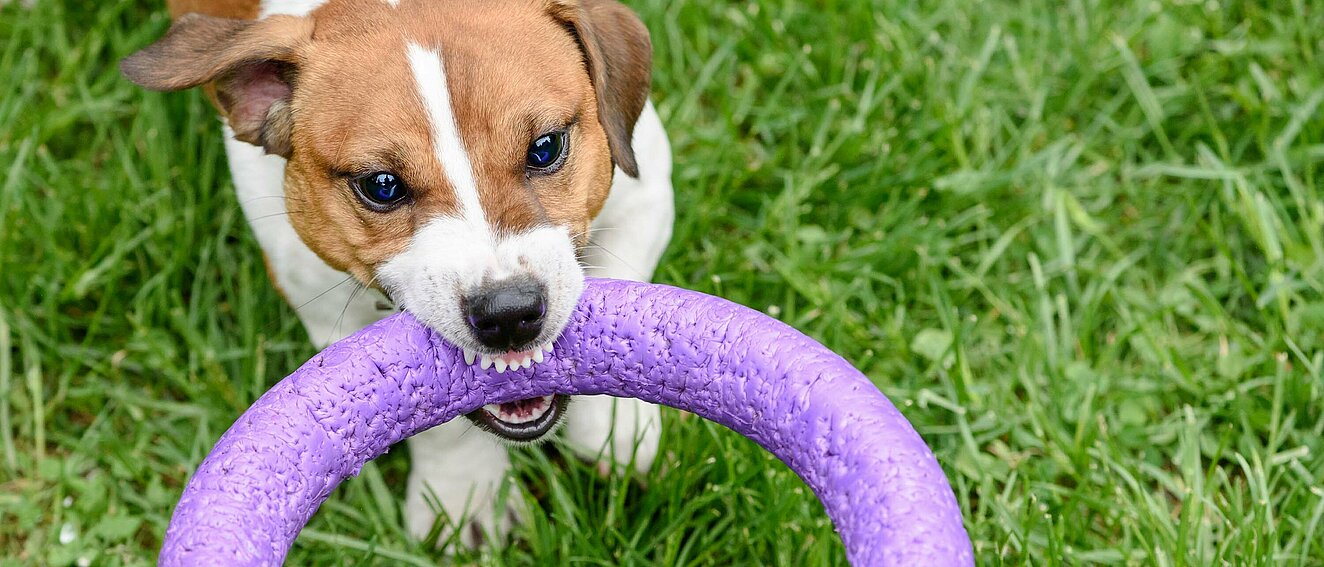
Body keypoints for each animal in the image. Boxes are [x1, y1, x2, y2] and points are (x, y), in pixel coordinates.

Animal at [120, 0, 677, 548]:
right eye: (382, 186)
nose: (509, 313)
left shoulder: (645, 193)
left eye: (546, 147)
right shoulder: (324, 309)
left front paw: (616, 428)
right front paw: (465, 495)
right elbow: (433, 417)